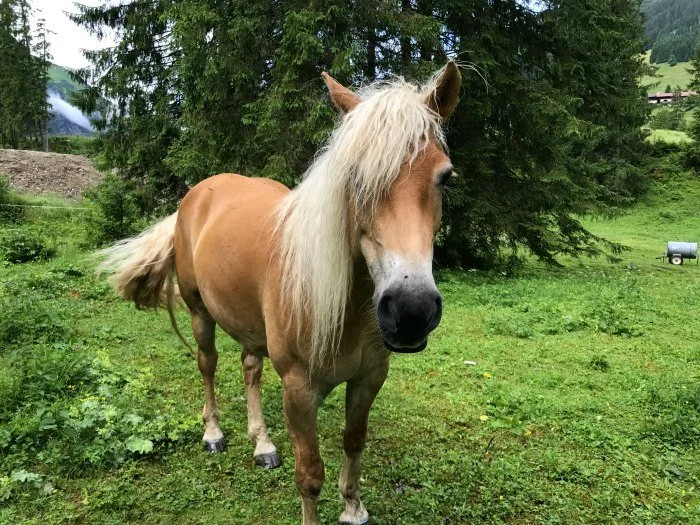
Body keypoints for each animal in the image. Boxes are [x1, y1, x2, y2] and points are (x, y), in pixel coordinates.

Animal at [97, 62, 460, 524]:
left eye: (445, 178)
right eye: (354, 178)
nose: (411, 310)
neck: (344, 309)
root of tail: (196, 194)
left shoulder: (370, 377)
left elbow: (353, 441)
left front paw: (353, 507)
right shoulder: (299, 389)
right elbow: (309, 474)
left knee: (249, 368)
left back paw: (263, 443)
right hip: (200, 313)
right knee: (208, 365)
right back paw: (213, 433)